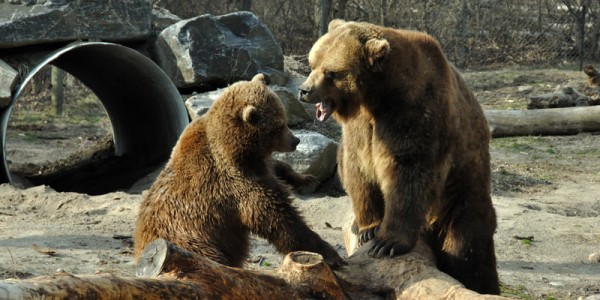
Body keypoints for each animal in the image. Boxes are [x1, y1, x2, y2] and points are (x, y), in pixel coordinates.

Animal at [134, 74, 344, 268]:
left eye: (284, 119)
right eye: (279, 126)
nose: (295, 141)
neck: (238, 150)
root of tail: (139, 250)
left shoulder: (257, 166)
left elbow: (278, 167)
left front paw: (307, 178)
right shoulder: (235, 184)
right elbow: (280, 220)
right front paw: (331, 255)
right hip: (194, 241)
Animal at [298, 19, 500, 294]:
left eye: (331, 72)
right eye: (313, 63)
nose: (304, 90)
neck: (379, 95)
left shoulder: (413, 113)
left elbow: (408, 175)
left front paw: (388, 243)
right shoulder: (361, 128)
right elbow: (357, 168)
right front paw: (368, 228)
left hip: (463, 191)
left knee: (468, 248)